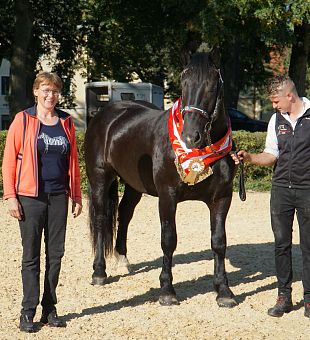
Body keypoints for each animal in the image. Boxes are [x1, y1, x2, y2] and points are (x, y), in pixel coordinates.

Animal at [85, 51, 240, 308]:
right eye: (184, 84)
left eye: (212, 86)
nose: (190, 137)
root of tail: (106, 115)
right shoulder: (167, 196)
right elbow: (168, 240)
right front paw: (167, 290)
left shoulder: (221, 198)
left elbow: (219, 242)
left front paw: (224, 291)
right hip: (99, 178)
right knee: (101, 219)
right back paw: (99, 272)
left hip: (133, 185)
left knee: (124, 214)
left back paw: (122, 260)